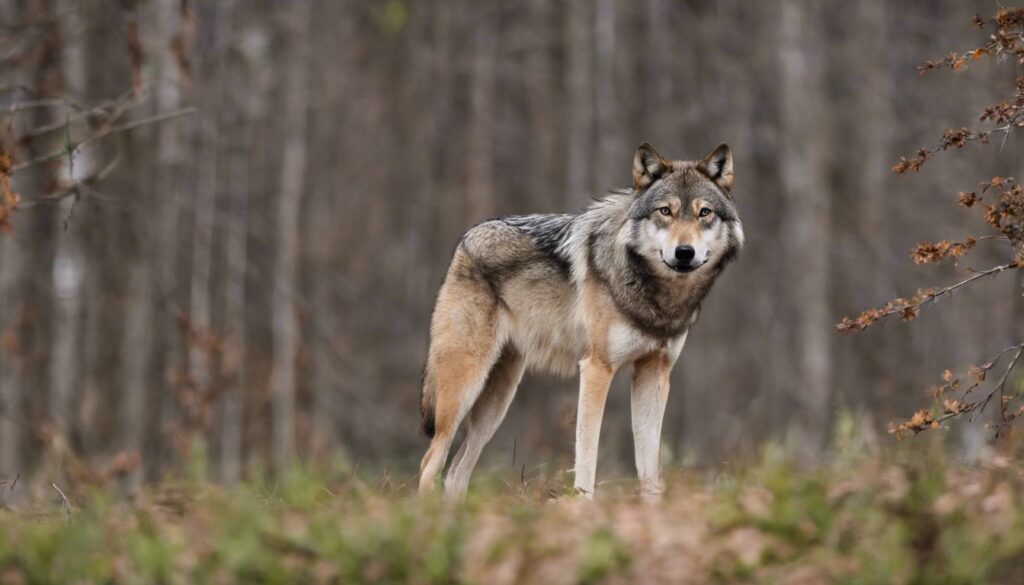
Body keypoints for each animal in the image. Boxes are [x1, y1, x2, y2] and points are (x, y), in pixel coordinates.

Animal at [418, 143, 743, 500]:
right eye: (665, 211)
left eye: (704, 213)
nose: (684, 252)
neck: (656, 296)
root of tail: (467, 238)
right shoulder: (596, 368)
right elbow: (587, 456)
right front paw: (583, 505)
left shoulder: (655, 373)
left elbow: (649, 465)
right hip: (463, 389)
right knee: (430, 462)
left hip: (498, 400)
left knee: (456, 473)